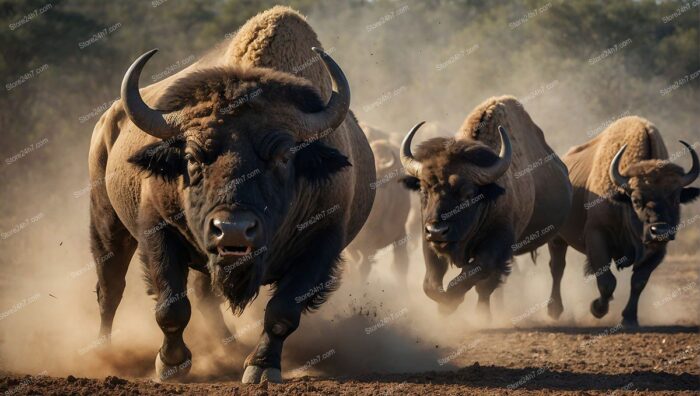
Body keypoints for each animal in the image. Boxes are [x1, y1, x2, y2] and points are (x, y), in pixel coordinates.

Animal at [90, 6, 378, 384]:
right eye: (191, 156)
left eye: (284, 156)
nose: (233, 230)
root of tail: (109, 119)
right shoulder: (159, 231)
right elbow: (171, 306)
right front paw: (170, 365)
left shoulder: (321, 244)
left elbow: (282, 312)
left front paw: (261, 367)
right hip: (106, 223)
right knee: (110, 288)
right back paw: (105, 352)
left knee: (203, 295)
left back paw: (228, 348)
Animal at [400, 96, 576, 318]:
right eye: (423, 190)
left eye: (468, 194)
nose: (438, 231)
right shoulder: (429, 243)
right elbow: (431, 285)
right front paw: (444, 309)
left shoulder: (496, 248)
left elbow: (477, 282)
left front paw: (470, 311)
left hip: (557, 235)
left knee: (556, 266)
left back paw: (554, 310)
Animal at [548, 116, 696, 326]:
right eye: (636, 200)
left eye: (676, 199)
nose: (659, 231)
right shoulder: (597, 235)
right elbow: (607, 281)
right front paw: (597, 309)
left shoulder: (658, 250)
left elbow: (639, 281)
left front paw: (629, 318)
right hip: (557, 238)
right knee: (557, 268)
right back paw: (554, 310)